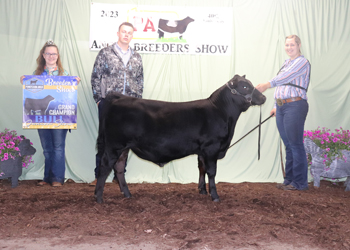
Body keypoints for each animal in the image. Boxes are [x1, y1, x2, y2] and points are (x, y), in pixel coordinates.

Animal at [94, 74, 266, 203]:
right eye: (245, 87)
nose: (264, 97)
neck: (221, 111)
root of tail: (119, 97)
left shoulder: (202, 150)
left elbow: (201, 168)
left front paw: (202, 190)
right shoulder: (212, 147)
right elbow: (211, 171)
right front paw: (215, 196)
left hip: (124, 147)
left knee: (119, 168)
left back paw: (127, 194)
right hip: (114, 145)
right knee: (104, 167)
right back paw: (98, 197)